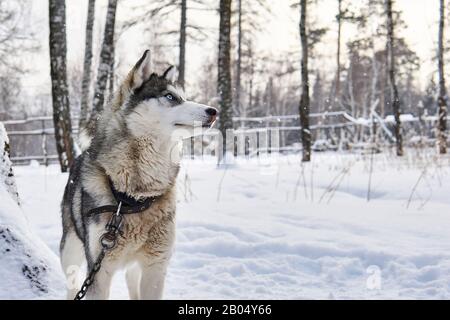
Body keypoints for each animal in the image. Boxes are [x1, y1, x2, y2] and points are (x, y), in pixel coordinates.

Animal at [59, 50, 218, 300]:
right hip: (71, 252)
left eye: (183, 97)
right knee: (72, 283)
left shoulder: (155, 265)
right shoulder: (99, 270)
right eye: (170, 97)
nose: (213, 111)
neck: (133, 197)